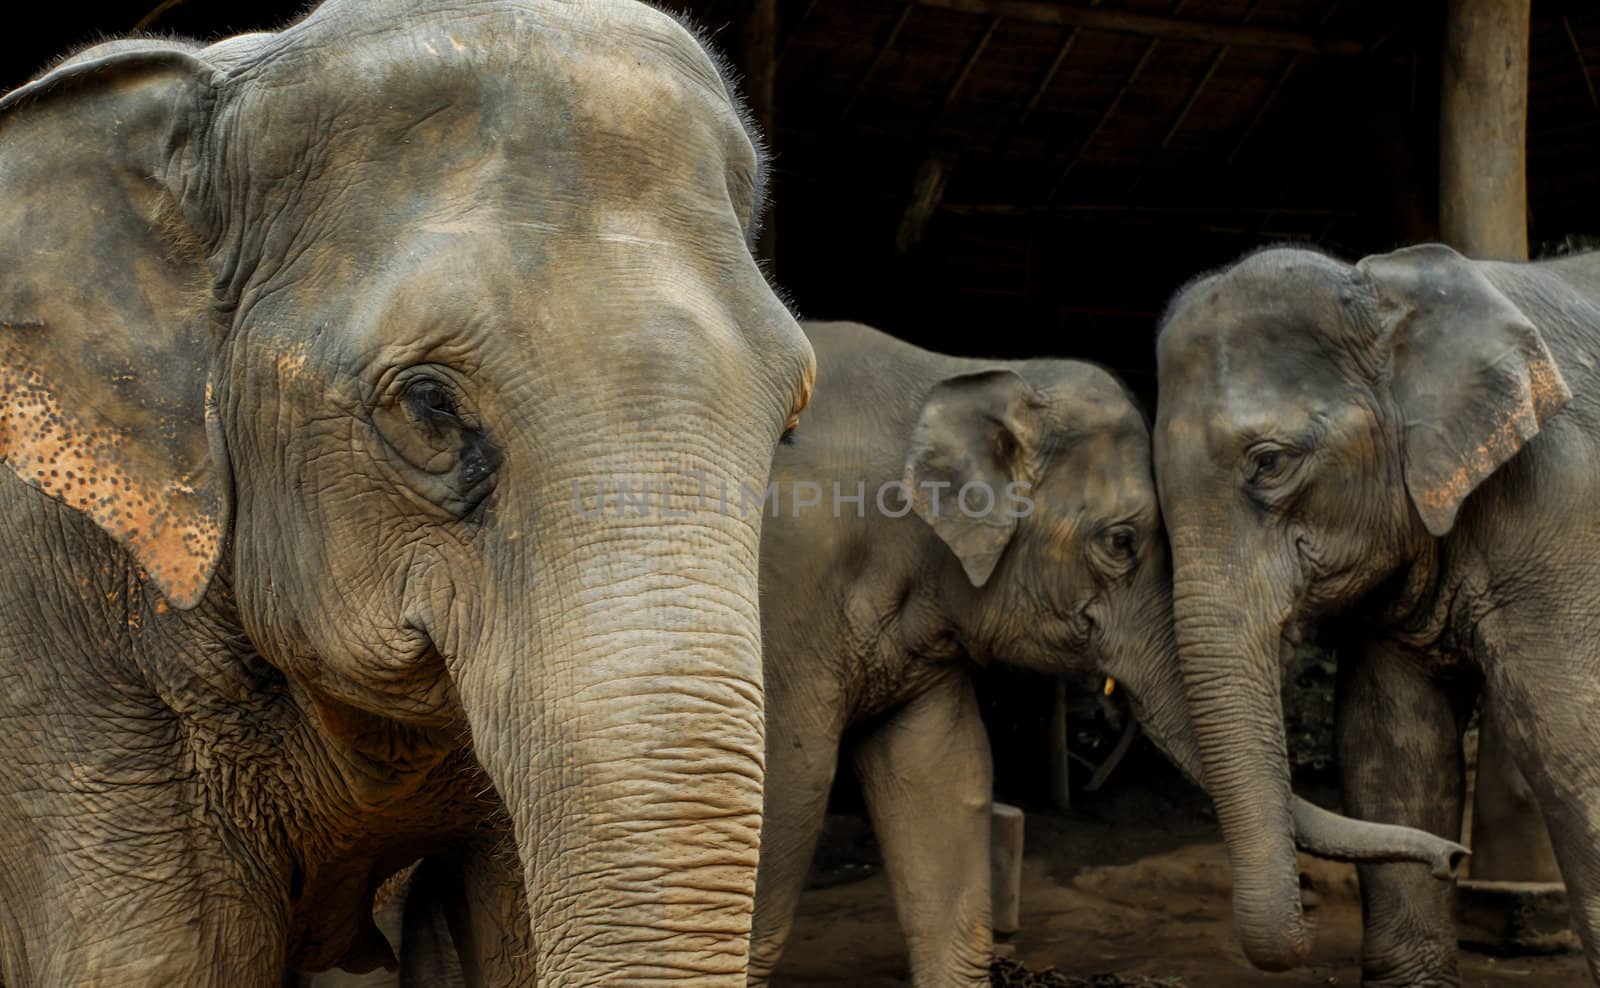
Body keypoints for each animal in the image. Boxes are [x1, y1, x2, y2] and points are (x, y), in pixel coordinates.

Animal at [1158, 243, 1600, 978]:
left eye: (1268, 463)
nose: (1454, 858)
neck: (1389, 288)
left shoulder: (1563, 504)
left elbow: (1573, 739)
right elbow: (1389, 744)